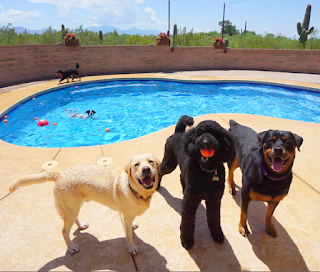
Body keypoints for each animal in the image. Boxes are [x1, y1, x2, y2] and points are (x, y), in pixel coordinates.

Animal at [161, 116, 234, 250]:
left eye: (215, 134)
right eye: (199, 133)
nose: (205, 142)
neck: (205, 171)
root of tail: (178, 132)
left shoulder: (214, 200)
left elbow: (214, 219)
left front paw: (217, 235)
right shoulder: (190, 201)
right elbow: (187, 222)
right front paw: (186, 241)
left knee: (181, 176)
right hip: (169, 163)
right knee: (159, 170)